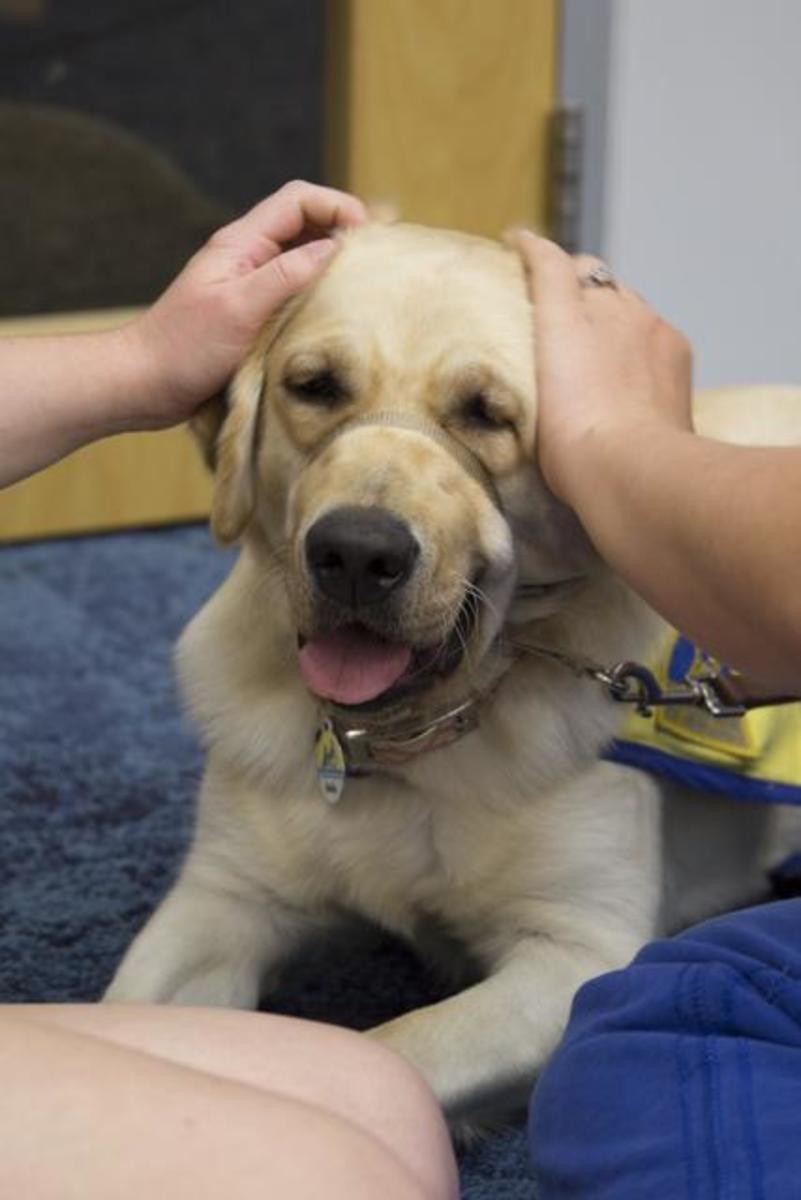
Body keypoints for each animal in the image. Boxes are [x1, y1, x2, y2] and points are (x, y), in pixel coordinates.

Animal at [104, 220, 801, 1128]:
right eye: (315, 387)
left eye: (487, 413)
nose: (355, 554)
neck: (404, 739)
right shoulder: (222, 897)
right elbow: (118, 1015)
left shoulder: (579, 949)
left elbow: (393, 1050)